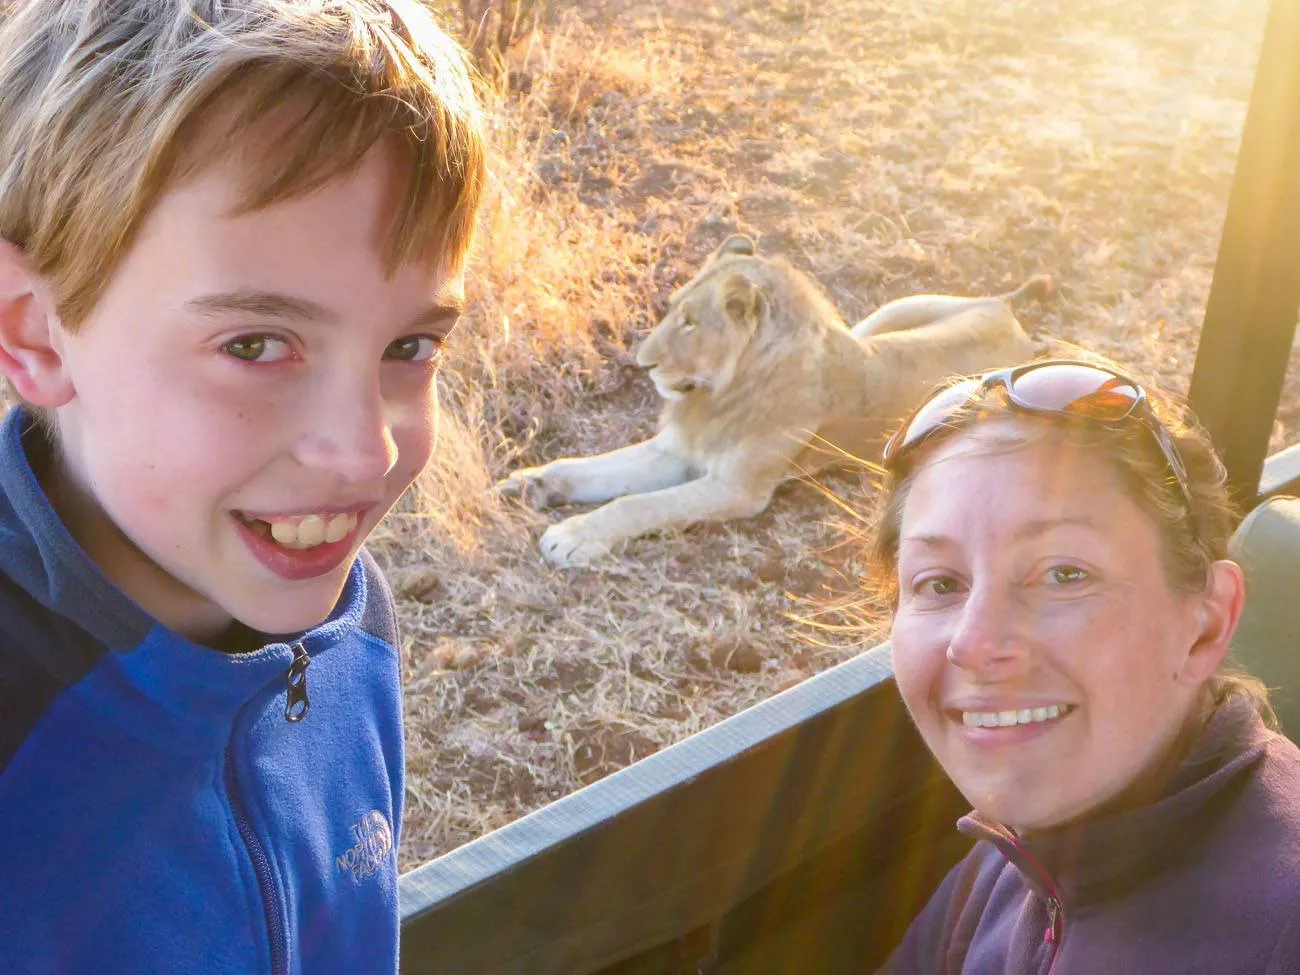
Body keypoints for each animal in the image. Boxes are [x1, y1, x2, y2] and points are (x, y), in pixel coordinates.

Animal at [493, 236, 1045, 569]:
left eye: (691, 323)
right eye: (672, 311)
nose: (642, 363)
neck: (715, 395)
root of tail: (1002, 308)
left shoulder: (738, 488)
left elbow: (638, 503)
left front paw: (573, 536)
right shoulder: (675, 451)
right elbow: (591, 470)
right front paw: (532, 484)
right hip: (889, 314)